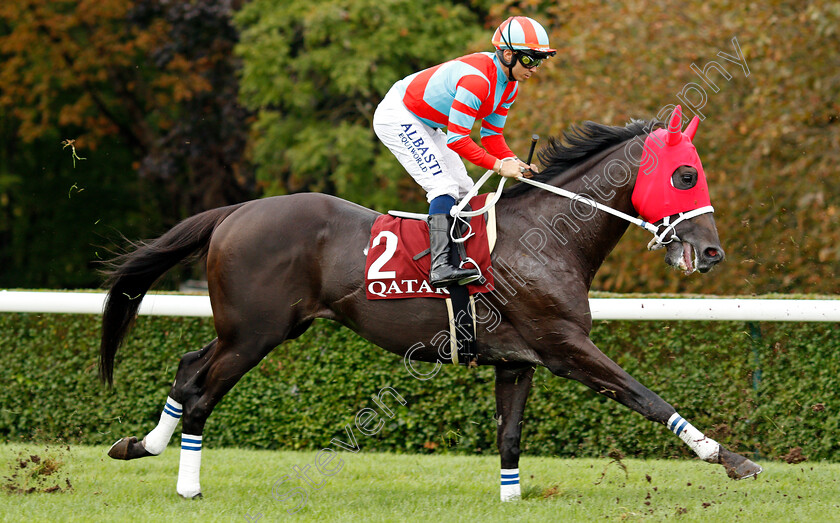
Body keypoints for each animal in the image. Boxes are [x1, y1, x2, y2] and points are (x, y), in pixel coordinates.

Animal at [98, 107, 760, 504]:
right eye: (685, 175)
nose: (711, 252)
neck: (548, 237)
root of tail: (235, 211)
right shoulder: (565, 346)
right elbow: (646, 397)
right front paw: (730, 458)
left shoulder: (517, 361)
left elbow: (510, 436)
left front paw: (511, 498)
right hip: (255, 334)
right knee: (202, 394)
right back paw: (187, 486)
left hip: (252, 327)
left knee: (188, 367)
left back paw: (140, 445)